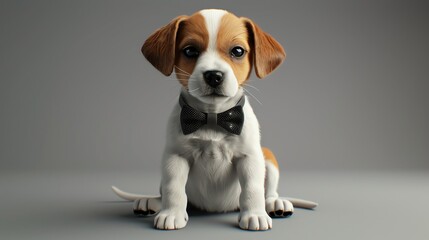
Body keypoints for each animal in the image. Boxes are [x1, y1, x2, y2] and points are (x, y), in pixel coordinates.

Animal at [112, 8, 316, 231]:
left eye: (237, 51)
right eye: (190, 51)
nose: (214, 76)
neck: (212, 116)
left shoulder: (250, 157)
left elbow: (252, 189)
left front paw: (255, 214)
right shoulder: (175, 157)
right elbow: (173, 188)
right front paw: (172, 213)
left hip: (268, 156)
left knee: (268, 191)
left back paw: (275, 204)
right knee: (164, 191)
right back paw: (152, 202)